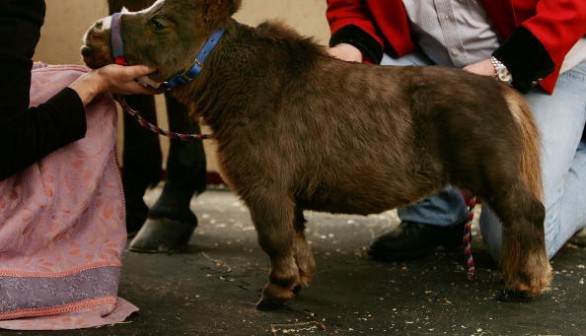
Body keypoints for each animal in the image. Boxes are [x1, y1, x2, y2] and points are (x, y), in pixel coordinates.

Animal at [80, 0, 548, 310]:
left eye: (159, 22)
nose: (91, 36)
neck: (241, 86)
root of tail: (502, 91)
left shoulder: (265, 188)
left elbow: (274, 239)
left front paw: (276, 292)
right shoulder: (288, 195)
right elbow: (295, 237)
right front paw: (298, 280)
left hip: (498, 180)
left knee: (527, 218)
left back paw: (527, 284)